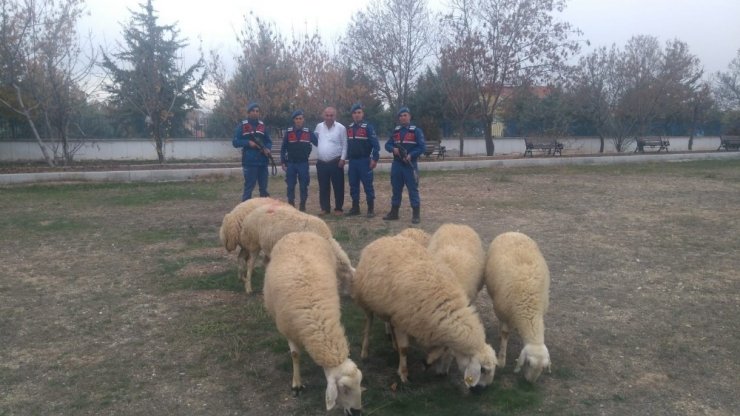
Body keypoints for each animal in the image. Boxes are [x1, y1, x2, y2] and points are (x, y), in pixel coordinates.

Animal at [264, 232, 364, 414]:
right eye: (344, 389)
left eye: (360, 383)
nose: (357, 412)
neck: (318, 323)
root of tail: (299, 233)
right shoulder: (289, 330)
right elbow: (295, 355)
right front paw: (297, 384)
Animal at [482, 232, 552, 382]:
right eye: (528, 363)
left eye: (543, 368)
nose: (529, 382)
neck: (529, 309)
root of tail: (513, 232)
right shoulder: (503, 312)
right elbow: (505, 333)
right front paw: (501, 360)